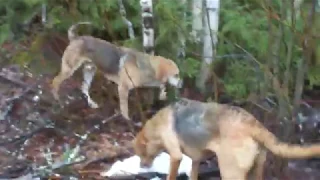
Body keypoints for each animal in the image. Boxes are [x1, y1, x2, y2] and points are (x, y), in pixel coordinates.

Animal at [50, 22, 181, 119]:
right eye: (176, 74)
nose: (181, 84)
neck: (146, 66)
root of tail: (76, 38)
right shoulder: (123, 88)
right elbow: (124, 108)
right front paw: (127, 120)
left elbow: (161, 84)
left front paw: (163, 94)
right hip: (69, 69)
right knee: (54, 82)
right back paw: (59, 102)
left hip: (89, 70)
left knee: (84, 88)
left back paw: (91, 104)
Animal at [132, 98, 320, 180]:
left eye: (140, 153)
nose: (142, 165)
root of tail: (251, 122)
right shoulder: (196, 159)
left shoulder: (175, 155)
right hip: (257, 167)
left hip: (230, 171)